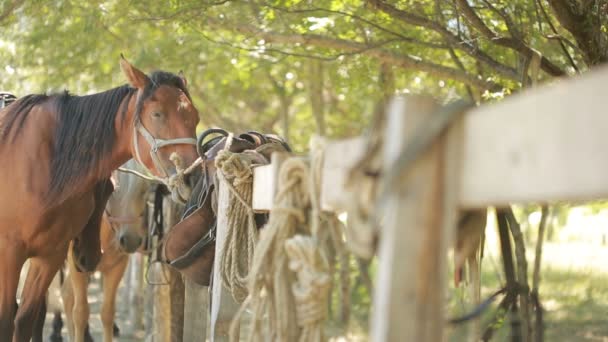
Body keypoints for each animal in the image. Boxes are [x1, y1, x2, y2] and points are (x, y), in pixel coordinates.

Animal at [0, 56, 200, 340]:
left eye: (195, 117)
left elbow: (26, 318)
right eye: (157, 114)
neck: (43, 163)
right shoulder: (9, 253)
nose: (193, 177)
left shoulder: (50, 257)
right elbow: (7, 320)